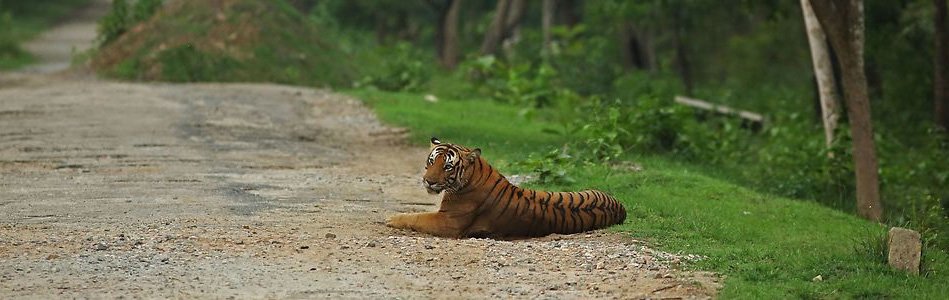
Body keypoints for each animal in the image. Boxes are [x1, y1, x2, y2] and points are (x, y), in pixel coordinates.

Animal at [384, 137, 624, 238]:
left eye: (448, 166)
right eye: (432, 161)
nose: (428, 181)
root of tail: (621, 207)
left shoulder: (448, 222)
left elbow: (417, 217)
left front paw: (391, 218)